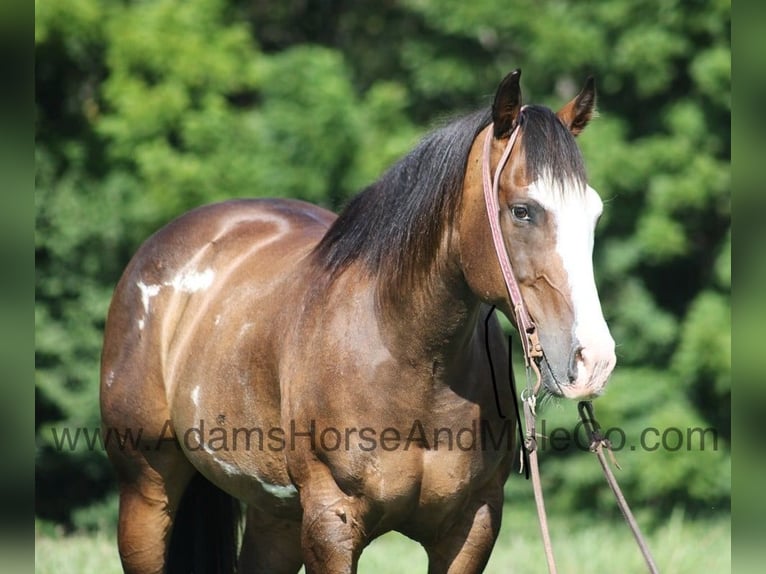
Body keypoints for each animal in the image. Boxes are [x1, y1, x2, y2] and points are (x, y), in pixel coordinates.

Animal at [100, 70, 616, 572]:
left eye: (594, 214)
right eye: (523, 210)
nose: (594, 360)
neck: (407, 357)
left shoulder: (471, 527)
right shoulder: (331, 524)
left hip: (276, 515)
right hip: (146, 492)